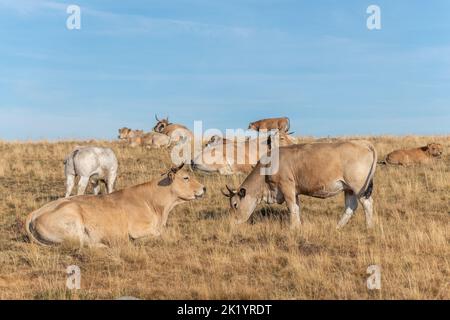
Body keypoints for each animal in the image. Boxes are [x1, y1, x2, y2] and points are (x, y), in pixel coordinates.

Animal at [25, 164, 205, 246]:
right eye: (186, 178)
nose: (204, 188)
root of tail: (34, 213)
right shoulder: (138, 229)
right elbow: (159, 234)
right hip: (73, 221)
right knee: (84, 243)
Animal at [221, 139, 376, 228]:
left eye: (235, 204)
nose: (231, 222)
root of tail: (363, 142)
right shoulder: (294, 191)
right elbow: (297, 207)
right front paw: (298, 226)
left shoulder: (286, 187)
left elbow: (292, 208)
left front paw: (293, 228)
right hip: (348, 189)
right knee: (350, 207)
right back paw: (337, 227)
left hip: (359, 187)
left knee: (367, 204)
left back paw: (369, 227)